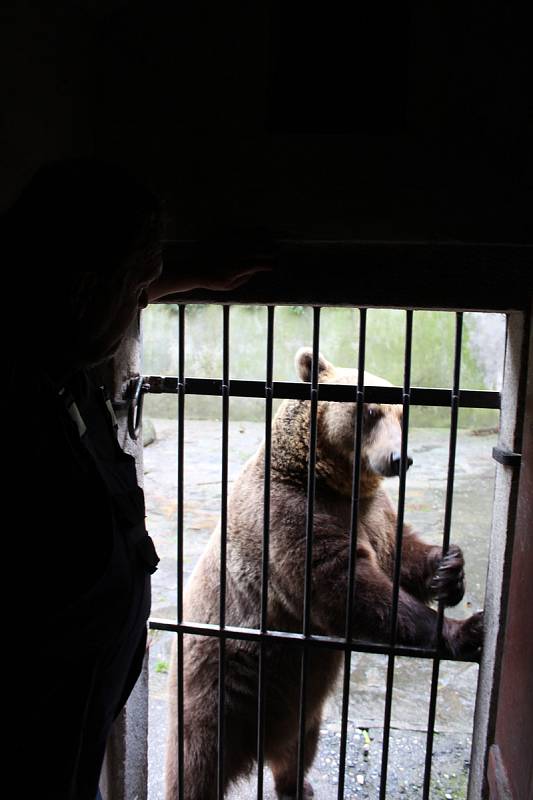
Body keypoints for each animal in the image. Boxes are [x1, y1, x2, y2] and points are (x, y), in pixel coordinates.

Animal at [165, 346, 482, 796]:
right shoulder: (290, 517)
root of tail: (261, 744)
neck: (327, 480)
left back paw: (298, 785)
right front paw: (465, 628)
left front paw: (449, 569)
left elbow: (398, 553)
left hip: (303, 709)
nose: (399, 458)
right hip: (217, 680)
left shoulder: (372, 514)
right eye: (370, 411)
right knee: (196, 759)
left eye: (403, 415)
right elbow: (344, 588)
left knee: (297, 750)